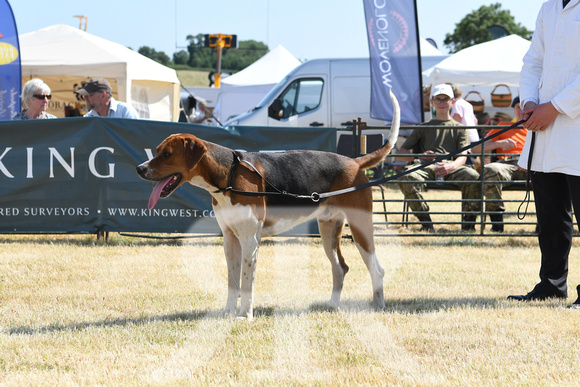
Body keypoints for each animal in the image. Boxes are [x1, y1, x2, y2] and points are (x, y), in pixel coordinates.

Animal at [137, 91, 398, 322]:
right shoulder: (230, 239)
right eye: (157, 151)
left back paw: (379, 306)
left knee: (378, 269)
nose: (140, 168)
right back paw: (332, 305)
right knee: (340, 268)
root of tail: (354, 162)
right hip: (328, 231)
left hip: (360, 228)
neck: (228, 176)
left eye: (167, 154)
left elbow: (246, 282)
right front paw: (228, 312)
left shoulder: (250, 240)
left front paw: (245, 315)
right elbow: (232, 281)